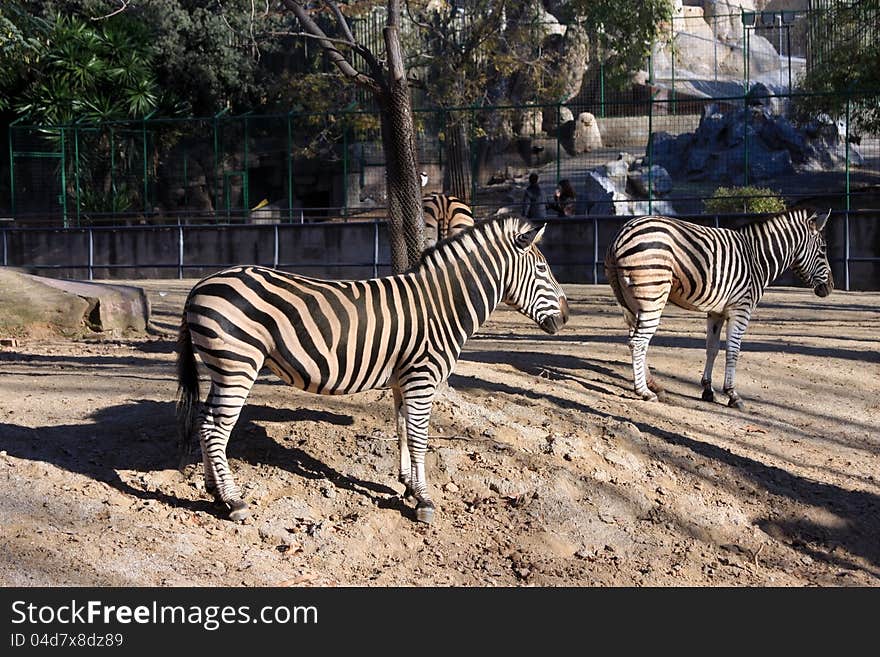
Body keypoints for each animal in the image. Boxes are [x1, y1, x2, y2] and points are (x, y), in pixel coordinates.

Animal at [177, 215, 572, 524]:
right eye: (543, 269)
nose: (567, 318)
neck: (442, 305)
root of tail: (200, 285)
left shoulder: (403, 379)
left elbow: (402, 430)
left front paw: (408, 485)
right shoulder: (421, 377)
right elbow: (419, 437)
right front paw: (424, 501)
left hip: (223, 368)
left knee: (205, 421)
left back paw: (214, 490)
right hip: (238, 364)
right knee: (215, 428)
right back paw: (233, 501)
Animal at [604, 208, 832, 408]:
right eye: (823, 250)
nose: (830, 287)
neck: (757, 258)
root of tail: (620, 236)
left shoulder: (716, 312)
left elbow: (711, 349)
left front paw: (707, 390)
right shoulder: (741, 309)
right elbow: (733, 350)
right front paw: (732, 394)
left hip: (633, 300)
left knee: (635, 339)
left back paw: (654, 385)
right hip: (652, 295)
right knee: (638, 342)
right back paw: (644, 392)